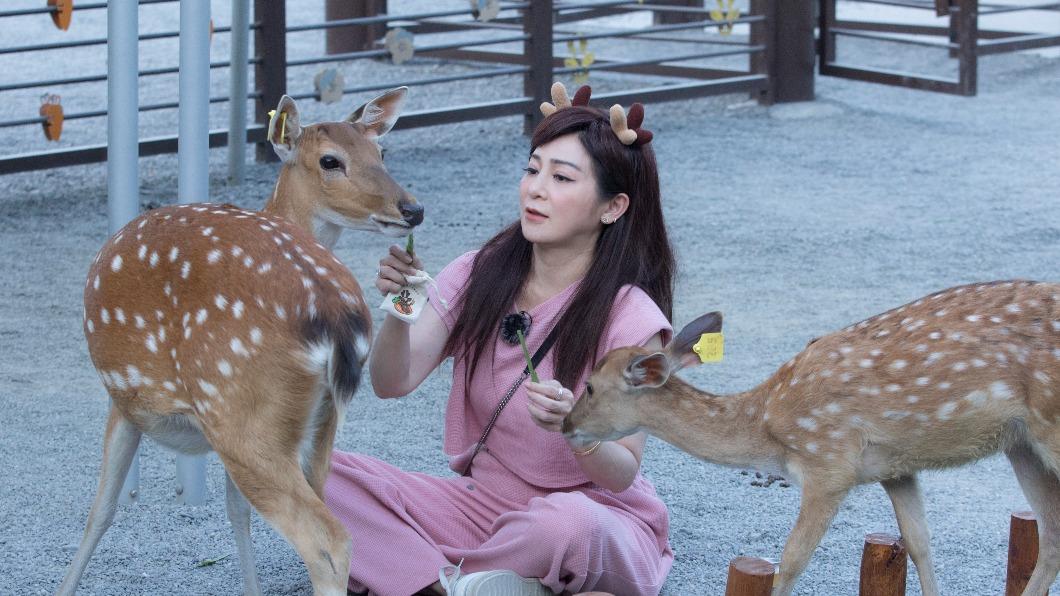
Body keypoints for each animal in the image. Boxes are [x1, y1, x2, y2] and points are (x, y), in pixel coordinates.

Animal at [57, 87, 422, 596]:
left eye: (380, 152)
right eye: (331, 160)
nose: (412, 209)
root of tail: (334, 315)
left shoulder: (125, 397)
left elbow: (101, 511)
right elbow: (233, 512)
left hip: (241, 411)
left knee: (328, 540)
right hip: (311, 423)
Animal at [563, 280, 1060, 596]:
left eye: (590, 386)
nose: (566, 426)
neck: (766, 424)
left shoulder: (828, 463)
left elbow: (791, 561)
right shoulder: (896, 467)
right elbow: (920, 545)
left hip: (1049, 428)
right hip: (1021, 445)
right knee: (1051, 536)